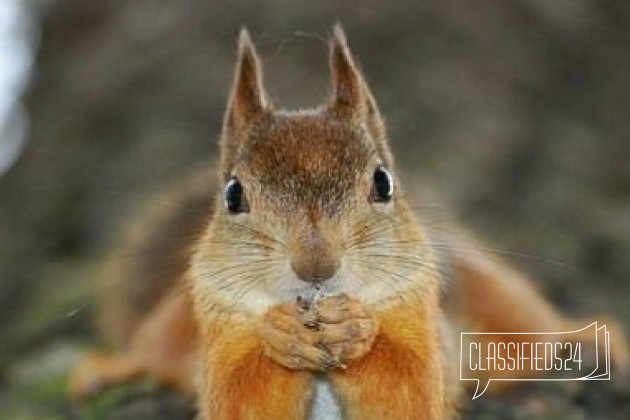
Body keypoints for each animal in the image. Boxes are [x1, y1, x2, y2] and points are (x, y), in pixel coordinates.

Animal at [66, 26, 628, 420]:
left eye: (383, 182)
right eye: (232, 195)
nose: (316, 265)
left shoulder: (423, 319)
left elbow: (411, 386)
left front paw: (356, 329)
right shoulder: (219, 322)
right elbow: (238, 394)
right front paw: (280, 334)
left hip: (491, 294)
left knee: (531, 332)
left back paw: (593, 337)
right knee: (154, 351)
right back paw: (108, 369)